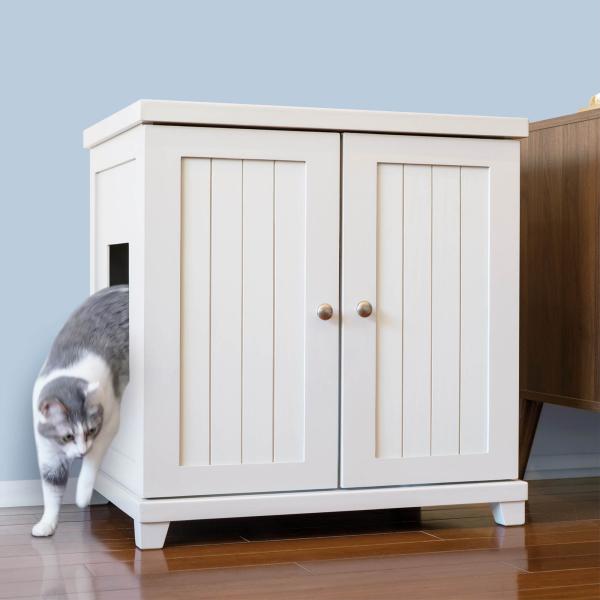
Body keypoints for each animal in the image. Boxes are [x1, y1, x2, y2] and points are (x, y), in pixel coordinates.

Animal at [31, 284, 127, 536]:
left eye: (91, 431)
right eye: (67, 436)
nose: (81, 452)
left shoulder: (110, 423)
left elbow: (92, 462)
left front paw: (83, 497)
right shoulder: (47, 449)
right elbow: (52, 487)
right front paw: (47, 525)